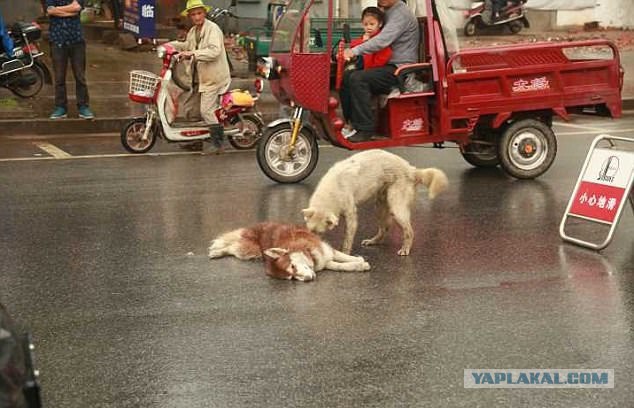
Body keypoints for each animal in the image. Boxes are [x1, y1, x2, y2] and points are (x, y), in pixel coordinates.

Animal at [302, 150, 446, 255]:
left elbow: (348, 239)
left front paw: (345, 253)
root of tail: (411, 169)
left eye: (319, 233)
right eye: (310, 231)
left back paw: (405, 249)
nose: (309, 248)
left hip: (397, 209)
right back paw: (373, 241)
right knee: (384, 229)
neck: (332, 191)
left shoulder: (351, 216)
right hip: (379, 207)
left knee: (409, 232)